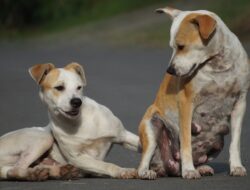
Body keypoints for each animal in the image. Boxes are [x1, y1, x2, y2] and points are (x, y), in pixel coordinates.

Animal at [0, 62, 140, 180]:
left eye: (79, 87)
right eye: (59, 87)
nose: (77, 102)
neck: (78, 122)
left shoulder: (123, 136)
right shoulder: (78, 158)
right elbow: (106, 165)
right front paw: (123, 171)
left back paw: (56, 171)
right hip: (44, 138)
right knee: (15, 169)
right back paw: (34, 174)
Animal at [138, 7, 249, 180]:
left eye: (181, 46)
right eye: (172, 47)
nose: (170, 71)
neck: (217, 65)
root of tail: (167, 167)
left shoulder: (240, 103)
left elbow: (235, 143)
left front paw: (237, 167)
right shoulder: (186, 103)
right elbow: (186, 143)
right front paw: (189, 170)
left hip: (218, 140)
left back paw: (201, 168)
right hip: (152, 125)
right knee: (143, 163)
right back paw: (148, 172)